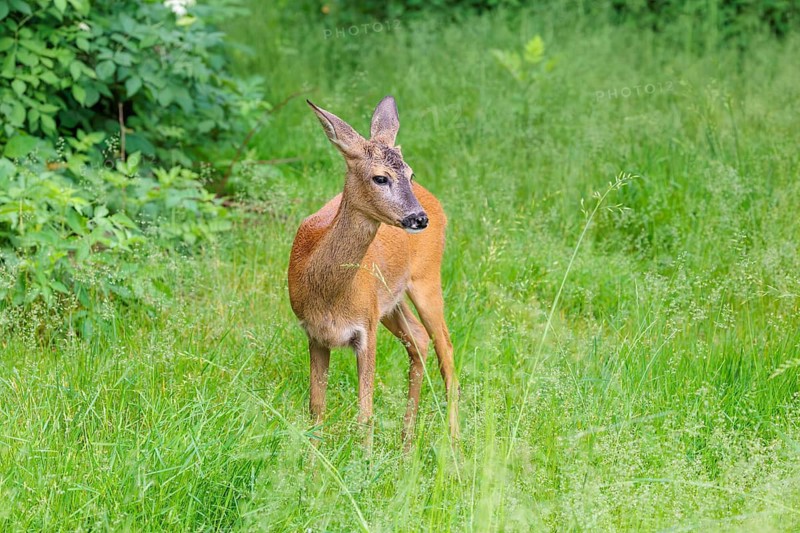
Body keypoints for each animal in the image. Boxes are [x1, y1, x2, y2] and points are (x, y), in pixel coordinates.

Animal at [287, 95, 459, 448]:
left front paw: (364, 461)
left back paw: (454, 442)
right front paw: (312, 461)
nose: (419, 218)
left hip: (426, 279)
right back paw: (407, 442)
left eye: (410, 173)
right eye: (380, 178)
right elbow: (316, 410)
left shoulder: (366, 329)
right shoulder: (315, 333)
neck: (329, 294)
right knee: (419, 340)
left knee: (445, 351)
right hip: (390, 302)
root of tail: (433, 200)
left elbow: (364, 415)